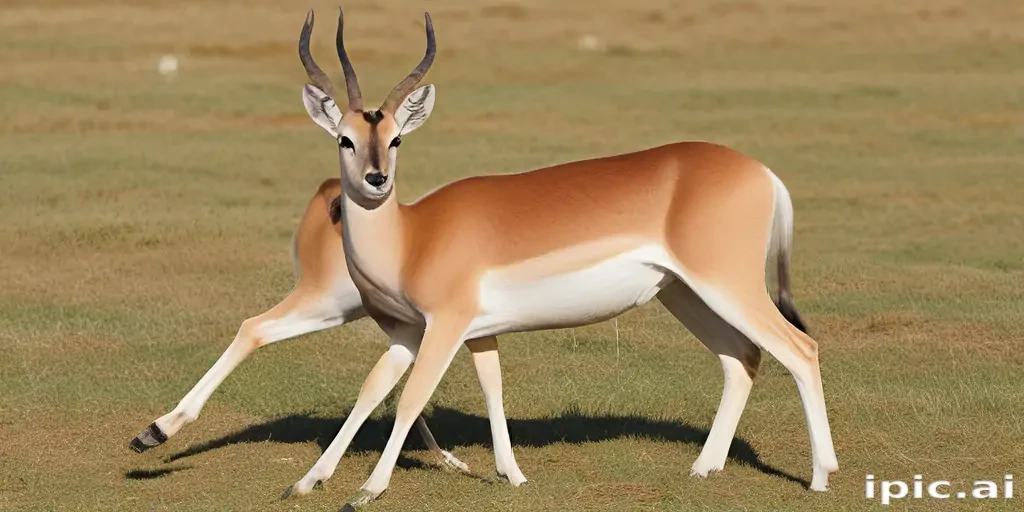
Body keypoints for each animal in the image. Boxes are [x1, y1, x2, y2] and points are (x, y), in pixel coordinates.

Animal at [294, 8, 839, 509]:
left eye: (397, 138)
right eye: (345, 138)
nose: (376, 179)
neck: (414, 236)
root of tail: (762, 172)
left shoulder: (445, 325)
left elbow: (410, 398)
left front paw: (367, 489)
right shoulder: (435, 332)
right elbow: (385, 391)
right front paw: (307, 480)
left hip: (727, 285)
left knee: (799, 348)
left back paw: (820, 476)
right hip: (684, 293)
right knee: (741, 357)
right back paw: (705, 468)